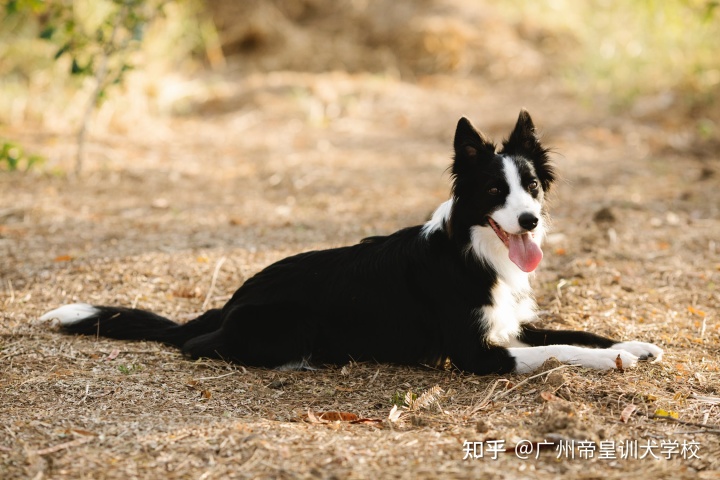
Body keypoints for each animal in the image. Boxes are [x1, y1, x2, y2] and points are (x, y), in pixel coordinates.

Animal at [39, 110, 664, 374]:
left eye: (531, 186)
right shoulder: (474, 352)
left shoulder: (509, 322)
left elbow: (576, 331)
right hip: (287, 323)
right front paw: (614, 361)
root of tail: (232, 299)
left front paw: (632, 344)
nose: (530, 220)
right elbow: (562, 349)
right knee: (198, 347)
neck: (470, 251)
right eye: (493, 191)